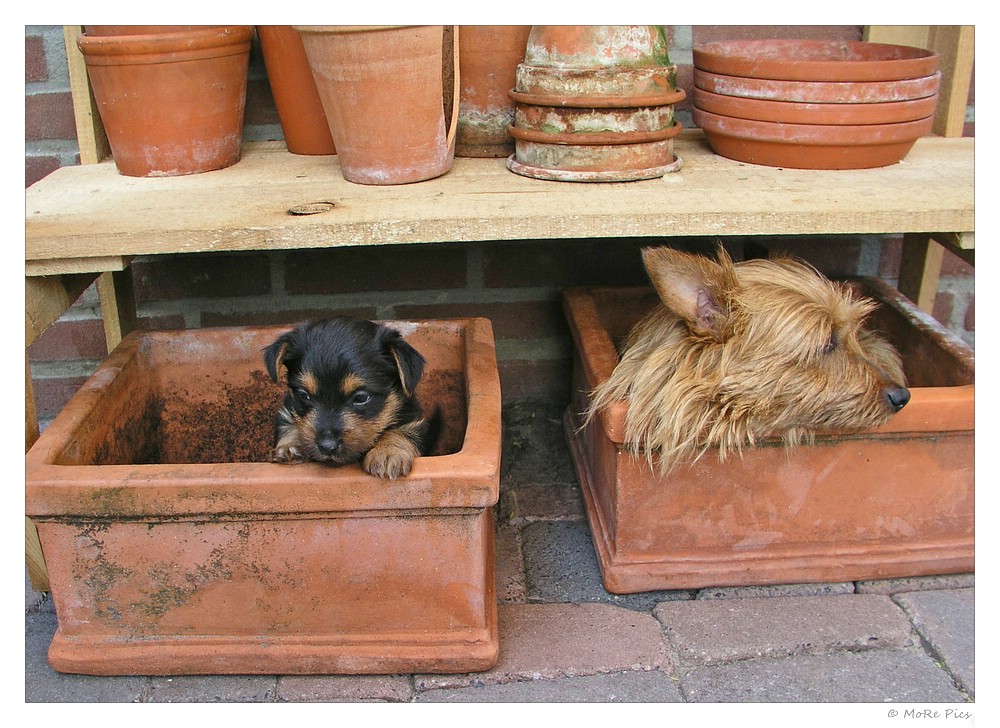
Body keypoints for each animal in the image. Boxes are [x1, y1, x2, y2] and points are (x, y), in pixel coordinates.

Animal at [264, 318, 436, 478]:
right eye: (303, 395)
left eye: (361, 397)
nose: (327, 446)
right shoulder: (288, 407)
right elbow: (289, 423)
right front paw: (291, 447)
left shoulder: (412, 419)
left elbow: (401, 431)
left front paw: (387, 452)